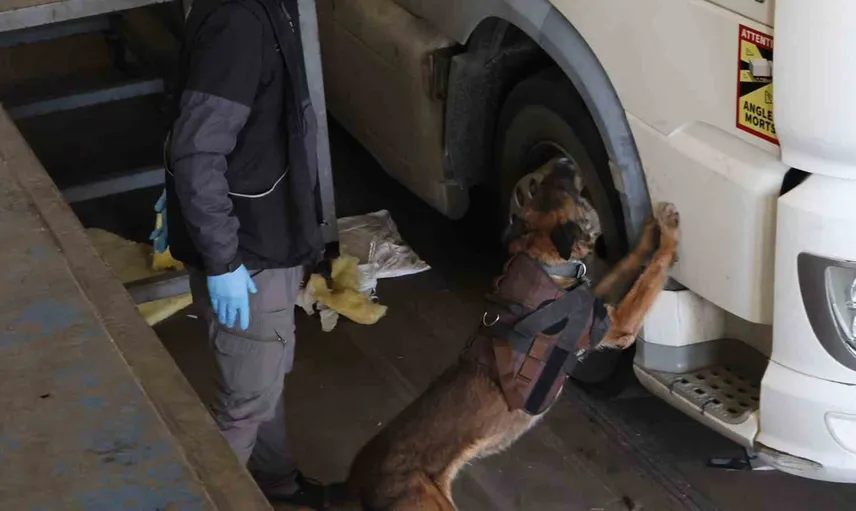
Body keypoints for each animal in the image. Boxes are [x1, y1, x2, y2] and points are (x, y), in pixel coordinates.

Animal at [295, 157, 680, 511]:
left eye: (547, 186)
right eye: (568, 190)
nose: (564, 159)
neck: (543, 261)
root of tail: (353, 483)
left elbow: (628, 263)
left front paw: (649, 232)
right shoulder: (621, 324)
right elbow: (651, 276)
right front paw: (669, 231)